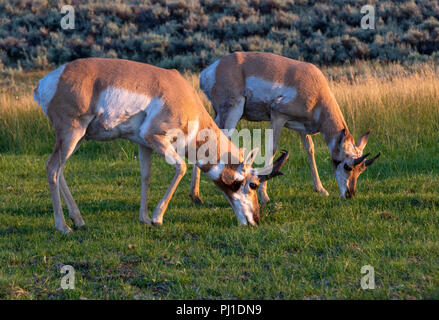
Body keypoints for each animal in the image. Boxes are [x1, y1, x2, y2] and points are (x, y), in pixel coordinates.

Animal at [33, 57, 288, 232]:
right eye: (253, 184)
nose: (255, 220)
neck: (184, 97)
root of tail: (48, 81)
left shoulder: (143, 144)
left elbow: (146, 175)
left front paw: (145, 218)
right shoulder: (154, 137)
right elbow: (181, 167)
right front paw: (157, 218)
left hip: (77, 138)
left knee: (59, 169)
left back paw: (78, 220)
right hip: (72, 132)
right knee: (52, 167)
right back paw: (63, 226)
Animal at [191, 51, 380, 204]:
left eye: (361, 169)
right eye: (348, 166)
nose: (350, 194)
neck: (317, 92)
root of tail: (211, 70)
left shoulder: (302, 128)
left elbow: (310, 149)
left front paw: (321, 189)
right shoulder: (278, 116)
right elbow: (272, 149)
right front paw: (264, 196)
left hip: (218, 115)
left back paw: (196, 197)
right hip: (232, 112)